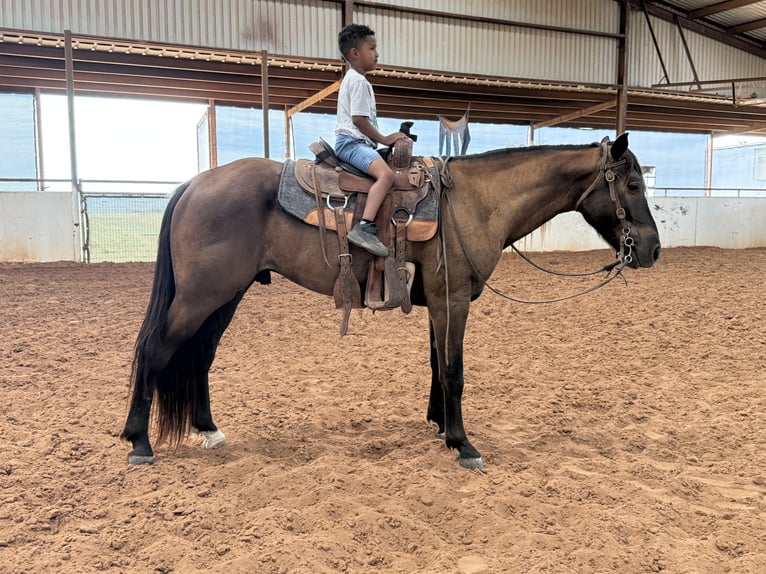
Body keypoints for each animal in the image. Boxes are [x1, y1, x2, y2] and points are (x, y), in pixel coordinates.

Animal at [120, 133, 661, 470]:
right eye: (633, 184)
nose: (653, 249)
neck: (474, 203)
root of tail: (195, 183)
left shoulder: (440, 303)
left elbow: (437, 364)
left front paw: (441, 427)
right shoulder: (453, 300)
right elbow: (454, 371)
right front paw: (464, 444)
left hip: (225, 296)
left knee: (199, 357)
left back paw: (208, 429)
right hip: (201, 296)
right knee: (154, 350)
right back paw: (139, 442)